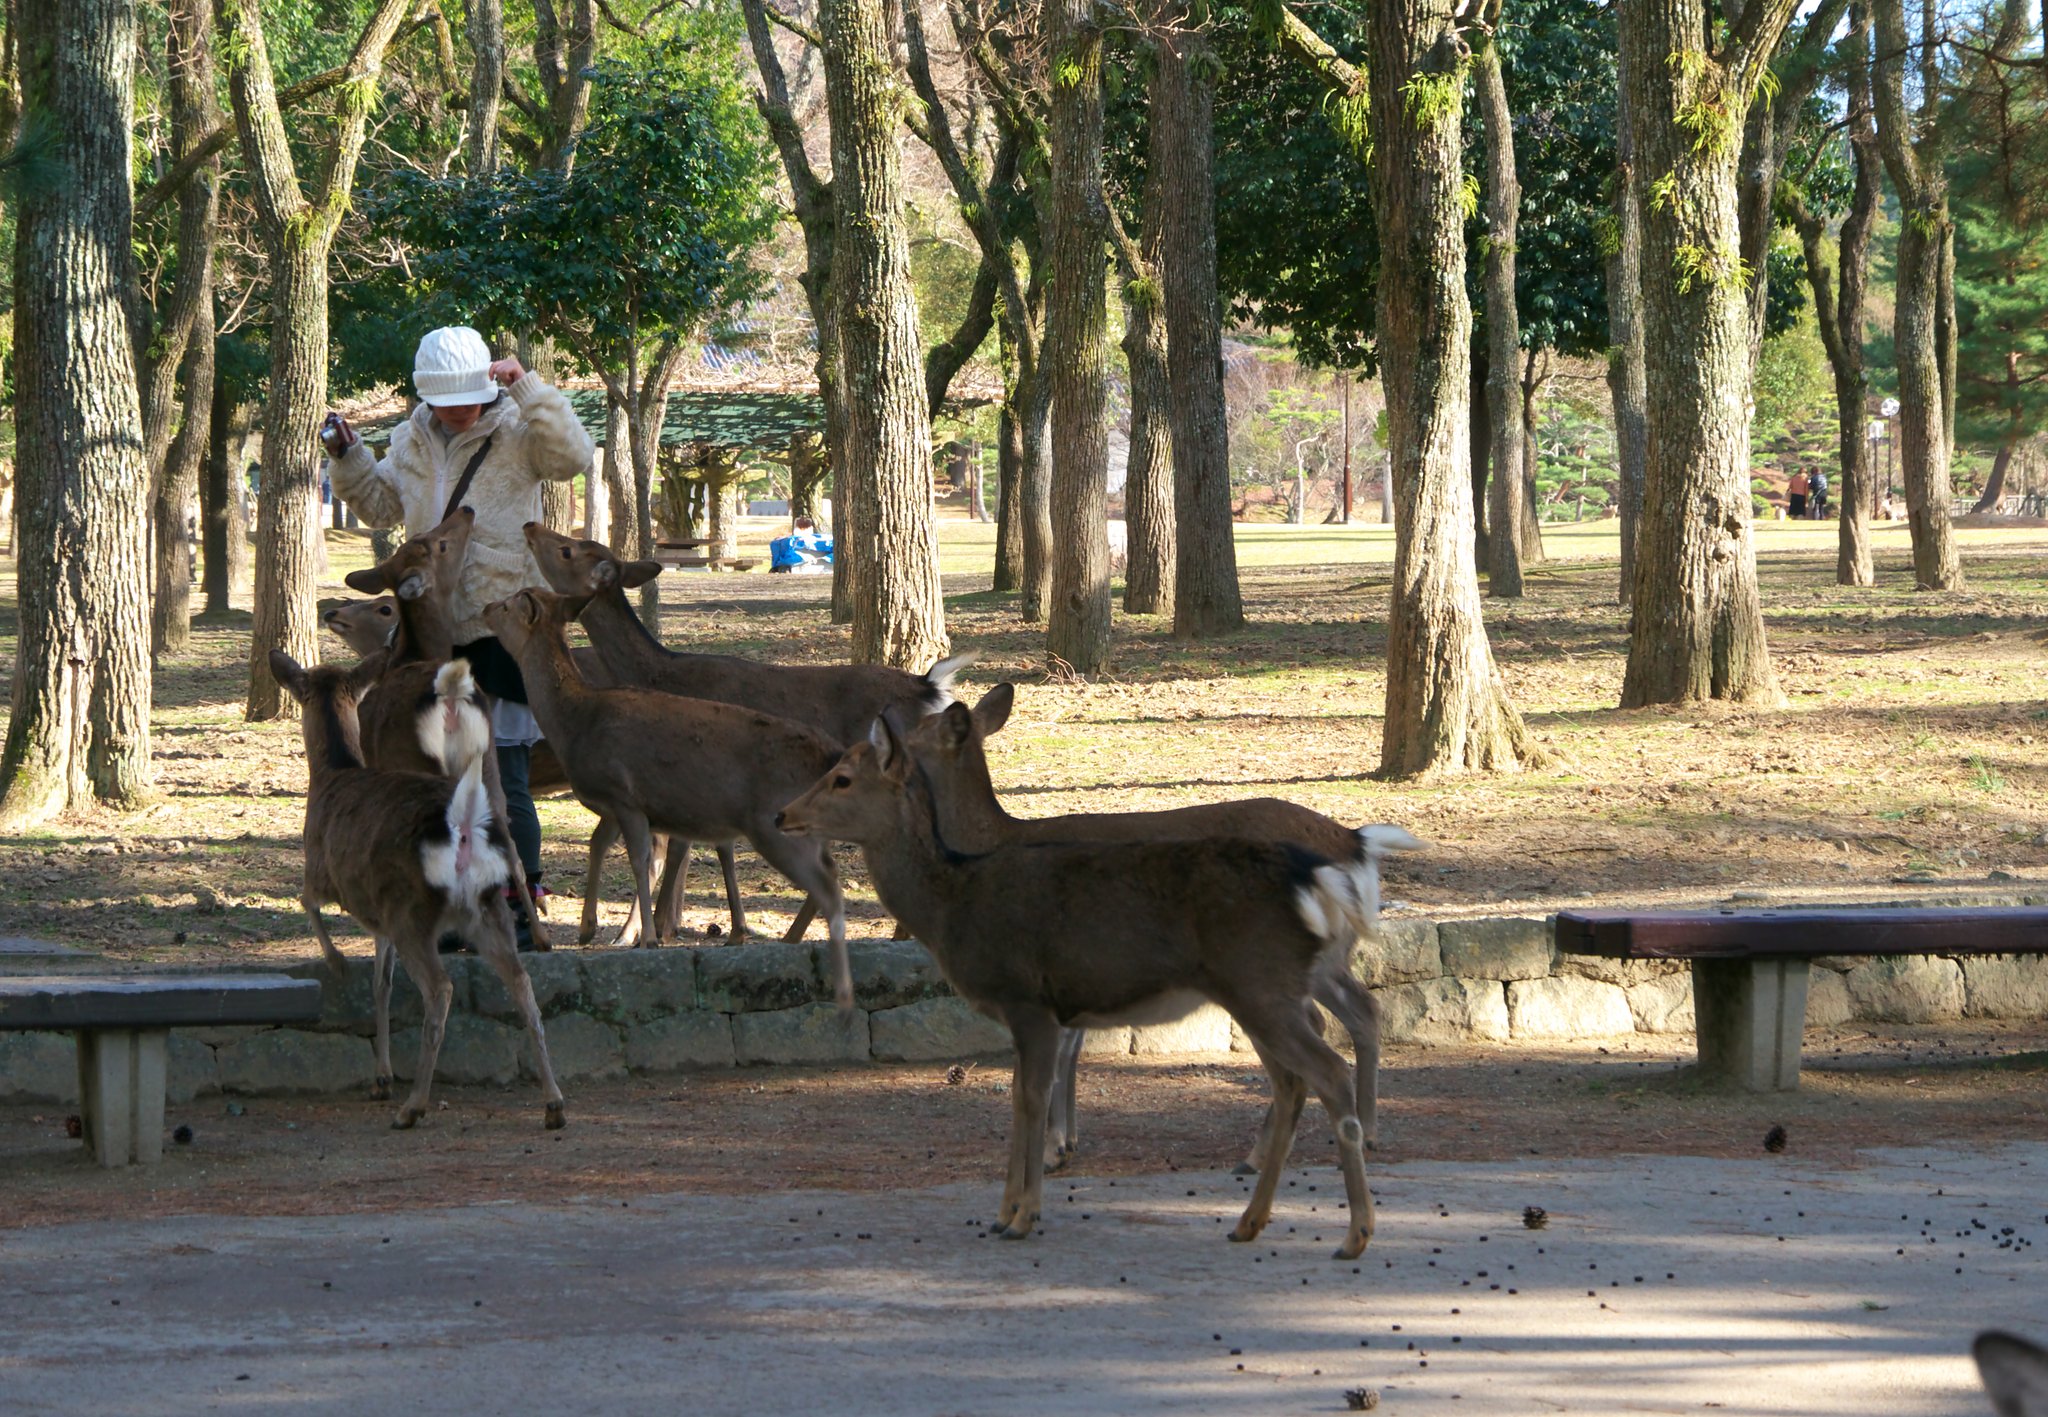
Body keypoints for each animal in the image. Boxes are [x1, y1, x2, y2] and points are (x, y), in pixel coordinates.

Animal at [271, 649, 565, 1131]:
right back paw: (554, 1103)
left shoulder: (321, 869)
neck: (334, 775)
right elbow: (381, 983)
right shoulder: (379, 917)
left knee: (441, 988)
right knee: (521, 981)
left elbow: (307, 903)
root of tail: (462, 827)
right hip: (484, 907)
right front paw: (381, 1078)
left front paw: (337, 964)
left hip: (413, 910)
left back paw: (414, 1106)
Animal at [481, 587, 854, 1008]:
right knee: (830, 872)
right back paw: (790, 939)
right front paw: (588, 928)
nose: (485, 608)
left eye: (508, 604)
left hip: (772, 823)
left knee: (826, 881)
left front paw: (646, 938)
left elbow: (639, 859)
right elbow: (600, 845)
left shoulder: (624, 795)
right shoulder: (616, 808)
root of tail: (830, 754)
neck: (576, 722)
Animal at [524, 521, 969, 943]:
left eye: (567, 549)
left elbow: (682, 848)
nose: (530, 527)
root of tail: (930, 687)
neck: (661, 673)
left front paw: (655, 932)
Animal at [776, 713, 1392, 1259]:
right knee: (1297, 1076)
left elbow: (1031, 1097)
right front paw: (1005, 1211)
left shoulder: (1027, 998)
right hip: (1263, 990)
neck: (954, 905)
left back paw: (1355, 1233)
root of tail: (1326, 872)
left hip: (1261, 982)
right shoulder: (1036, 1012)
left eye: (842, 778)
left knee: (1328, 1070)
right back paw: (1249, 1222)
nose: (783, 813)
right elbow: (1020, 1098)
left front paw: (1023, 1215)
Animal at [903, 682, 1419, 1173]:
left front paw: (1053, 1148)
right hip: (1324, 957)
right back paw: (1365, 1133)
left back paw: (1269, 1152)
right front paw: (1068, 1141)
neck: (993, 843)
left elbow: (1062, 1053)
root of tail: (1356, 842)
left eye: (909, 736)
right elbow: (1073, 1048)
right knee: (1362, 1010)